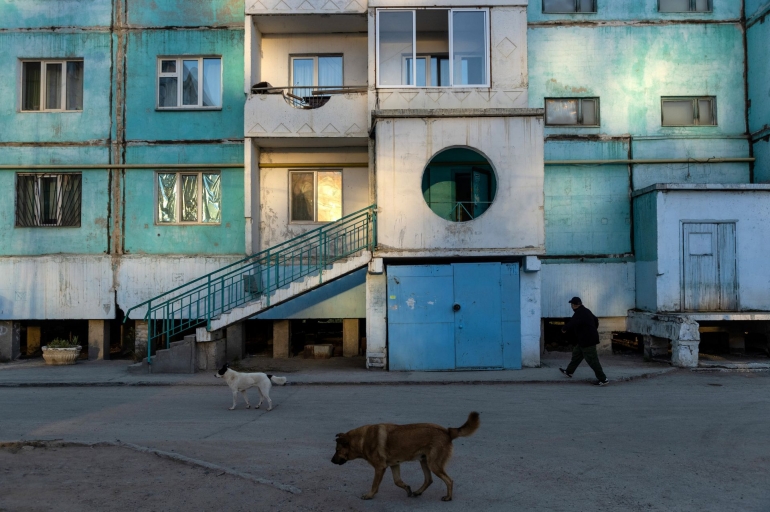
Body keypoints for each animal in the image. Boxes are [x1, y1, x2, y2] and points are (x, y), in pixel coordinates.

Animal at [332, 412, 476, 500]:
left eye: (337, 450)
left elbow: (374, 484)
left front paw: (369, 495)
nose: (332, 460)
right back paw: (418, 492)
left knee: (449, 480)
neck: (362, 439)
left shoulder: (380, 468)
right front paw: (407, 489)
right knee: (429, 480)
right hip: (424, 462)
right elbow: (397, 481)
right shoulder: (394, 465)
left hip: (433, 464)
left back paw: (448, 497)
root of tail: (447, 431)